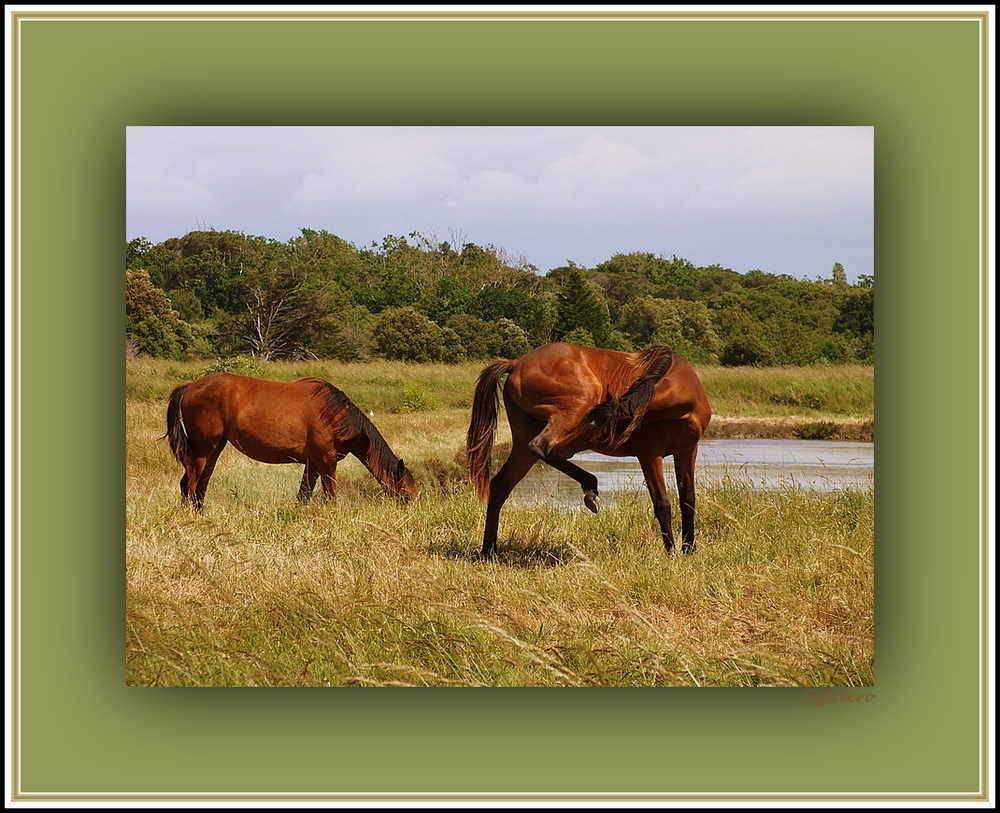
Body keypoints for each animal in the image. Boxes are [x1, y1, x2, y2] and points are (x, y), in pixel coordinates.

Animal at [166, 372, 416, 510]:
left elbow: (304, 495)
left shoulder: (313, 464)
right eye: (406, 496)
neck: (335, 415)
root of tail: (189, 386)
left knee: (198, 485)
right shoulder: (326, 462)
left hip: (214, 449)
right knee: (190, 484)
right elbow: (330, 495)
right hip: (203, 450)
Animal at [466, 342, 712, 560]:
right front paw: (671, 553)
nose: (560, 450)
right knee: (539, 447)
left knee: (502, 484)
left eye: (597, 429)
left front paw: (690, 550)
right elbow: (662, 504)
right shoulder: (650, 455)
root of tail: (516, 363)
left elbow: (688, 500)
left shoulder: (687, 451)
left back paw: (489, 551)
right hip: (570, 410)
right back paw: (589, 486)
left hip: (525, 442)